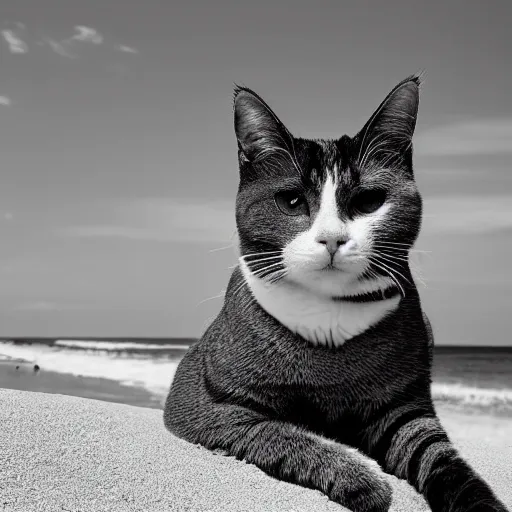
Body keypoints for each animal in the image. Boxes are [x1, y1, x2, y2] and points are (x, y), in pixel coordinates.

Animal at [164, 76, 508, 512]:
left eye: (368, 201)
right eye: (291, 201)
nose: (332, 238)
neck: (327, 316)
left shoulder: (404, 409)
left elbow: (439, 457)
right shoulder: (201, 403)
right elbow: (278, 432)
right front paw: (360, 478)